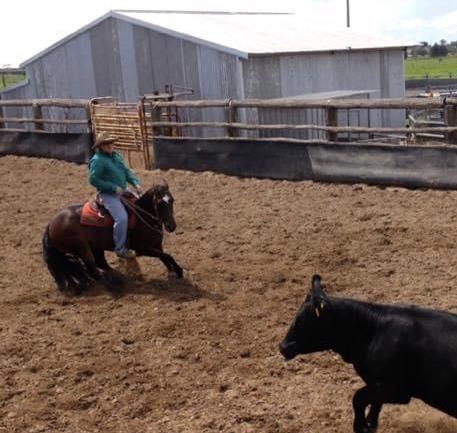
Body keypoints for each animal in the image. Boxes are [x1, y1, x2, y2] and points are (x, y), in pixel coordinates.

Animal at [42, 181, 183, 295]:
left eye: (172, 200)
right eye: (159, 203)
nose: (171, 226)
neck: (141, 215)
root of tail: (51, 224)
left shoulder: (156, 245)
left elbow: (164, 256)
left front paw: (173, 271)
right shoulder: (141, 249)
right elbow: (167, 256)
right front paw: (179, 271)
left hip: (95, 246)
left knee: (100, 263)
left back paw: (118, 278)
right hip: (82, 249)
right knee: (93, 269)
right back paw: (114, 285)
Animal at [279, 274, 457, 433]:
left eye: (302, 320)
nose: (283, 346)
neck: (372, 330)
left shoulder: (395, 389)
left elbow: (358, 398)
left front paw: (360, 426)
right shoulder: (377, 386)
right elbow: (374, 406)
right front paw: (370, 425)